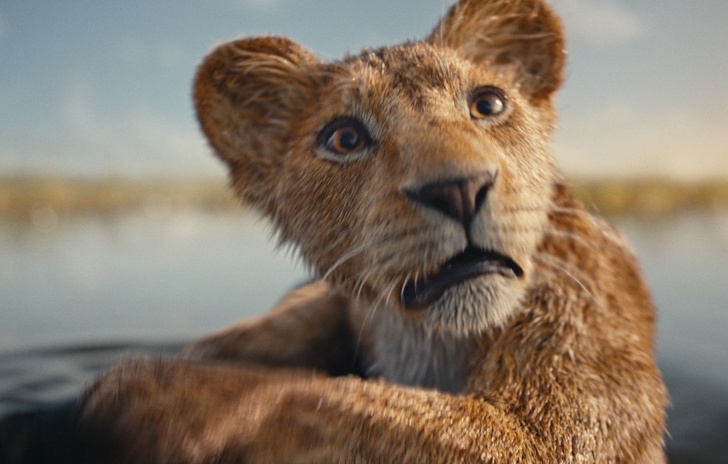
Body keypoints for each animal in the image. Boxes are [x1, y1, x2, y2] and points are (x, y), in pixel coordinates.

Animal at [5, 0, 667, 461]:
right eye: (345, 138)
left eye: (488, 104)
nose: (459, 189)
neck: (425, 340)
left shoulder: (560, 421)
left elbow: (320, 399)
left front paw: (148, 396)